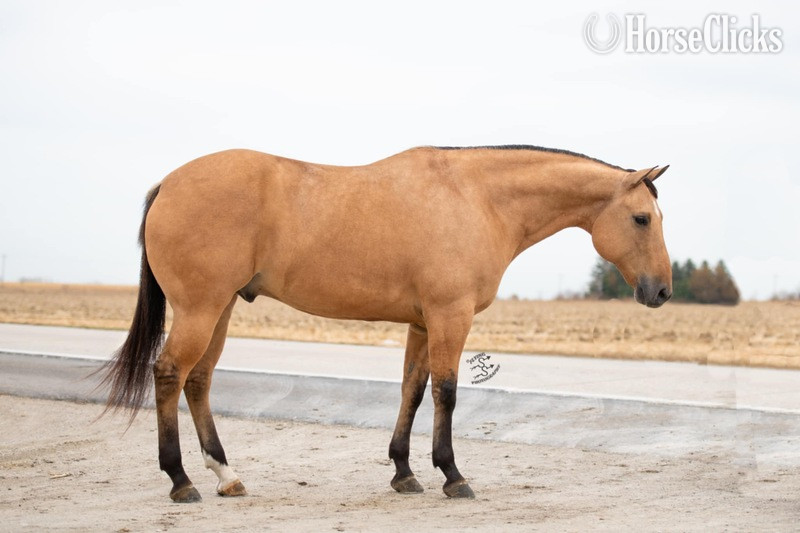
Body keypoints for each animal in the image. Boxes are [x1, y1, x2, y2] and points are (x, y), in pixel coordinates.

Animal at [100, 145, 672, 502]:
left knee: (198, 381)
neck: (477, 198)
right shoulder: (449, 316)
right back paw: (180, 480)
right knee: (170, 374)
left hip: (219, 310)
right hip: (200, 310)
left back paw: (226, 475)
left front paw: (404, 472)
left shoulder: (421, 324)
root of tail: (169, 183)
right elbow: (446, 393)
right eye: (642, 218)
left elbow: (412, 392)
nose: (662, 290)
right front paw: (452, 475)